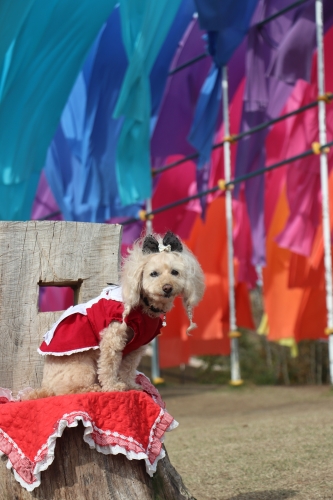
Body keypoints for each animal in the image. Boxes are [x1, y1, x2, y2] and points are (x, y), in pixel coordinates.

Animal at [24, 230, 204, 398]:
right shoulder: (113, 338)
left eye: (175, 272)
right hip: (83, 368)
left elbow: (128, 368)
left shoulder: (136, 347)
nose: (167, 288)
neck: (144, 305)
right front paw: (112, 387)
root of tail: (45, 386)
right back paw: (93, 389)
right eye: (153, 273)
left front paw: (130, 385)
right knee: (66, 391)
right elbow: (109, 366)